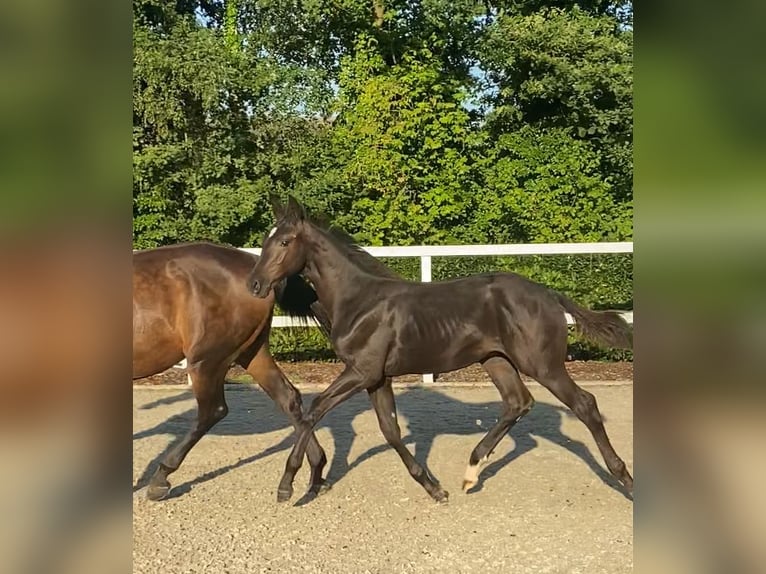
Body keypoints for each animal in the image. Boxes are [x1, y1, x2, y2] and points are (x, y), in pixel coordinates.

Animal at [135, 241, 332, 502]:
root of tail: (256, 269)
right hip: (252, 353)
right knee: (287, 398)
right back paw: (312, 474)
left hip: (207, 359)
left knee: (213, 411)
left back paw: (160, 478)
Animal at [248, 198, 636, 504]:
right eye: (265, 241)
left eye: (284, 241)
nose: (255, 284)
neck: (358, 300)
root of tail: (549, 293)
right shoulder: (377, 378)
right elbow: (390, 430)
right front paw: (433, 487)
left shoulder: (361, 371)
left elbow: (314, 411)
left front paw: (290, 484)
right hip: (496, 360)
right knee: (518, 402)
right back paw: (471, 472)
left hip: (543, 364)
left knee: (584, 404)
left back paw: (624, 479)